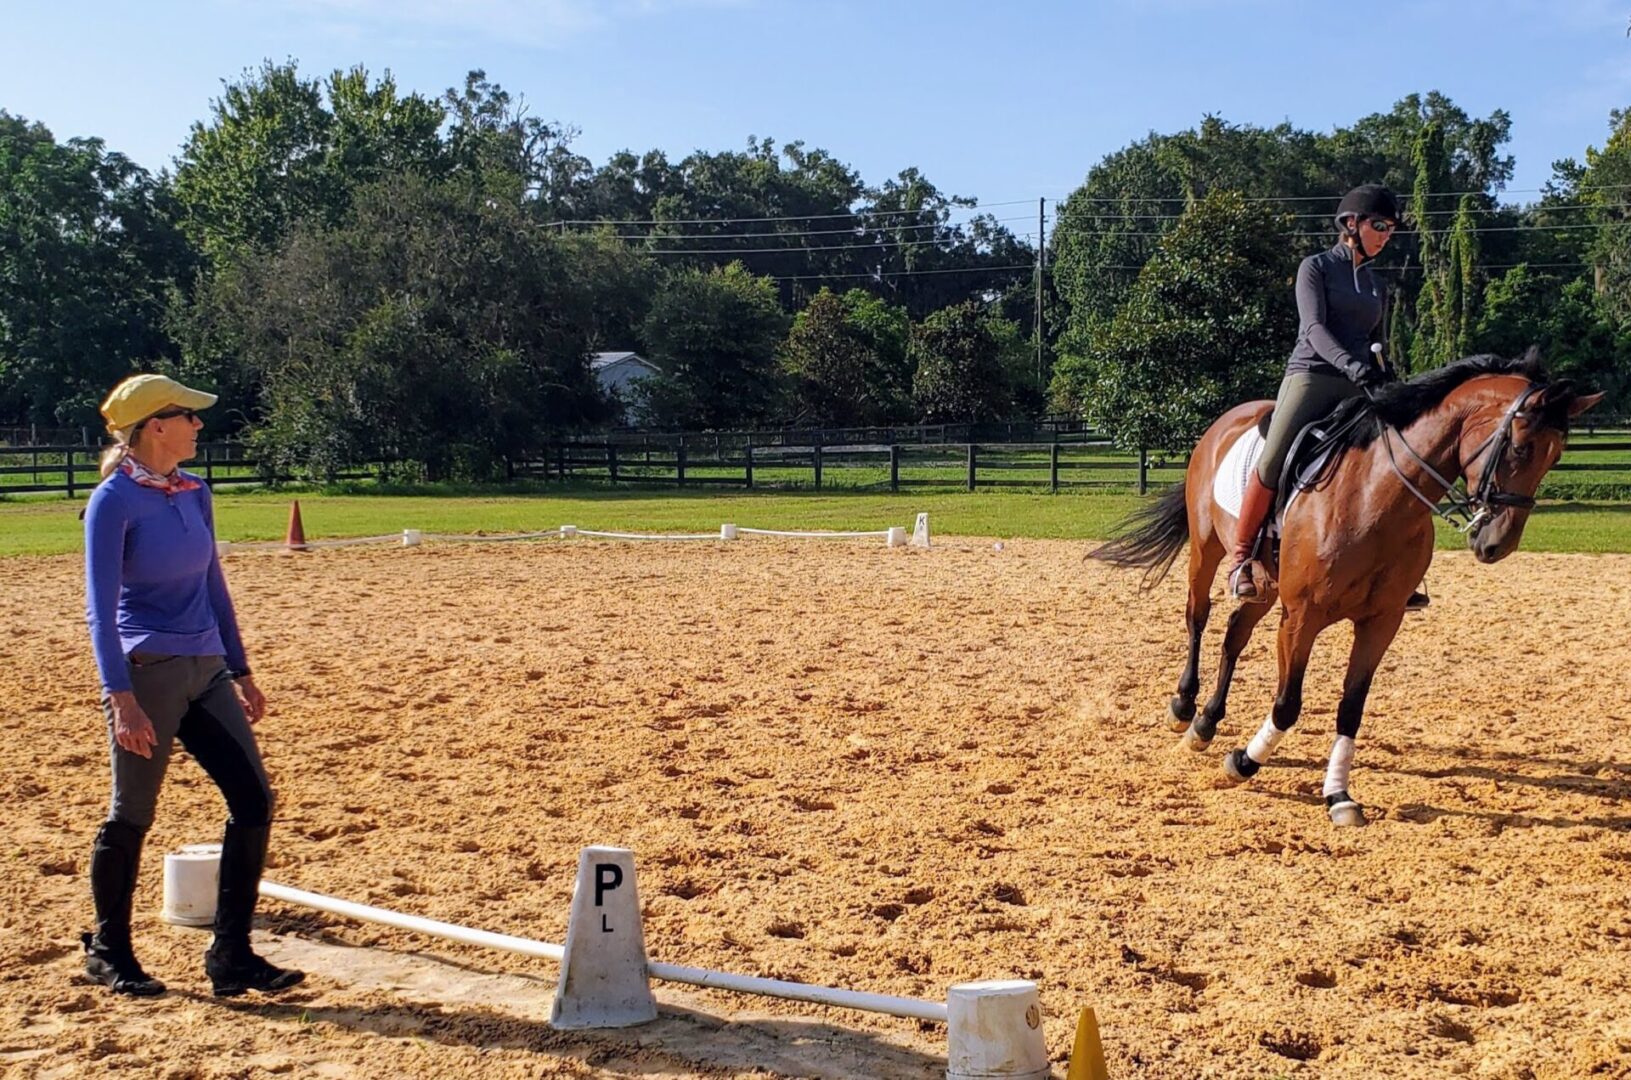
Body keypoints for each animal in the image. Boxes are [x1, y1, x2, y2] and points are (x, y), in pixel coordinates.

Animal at [1096, 349, 1604, 828]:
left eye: (1556, 457)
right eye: (1520, 446)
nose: (1496, 543)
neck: (1374, 499)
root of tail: (1227, 420)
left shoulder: (1381, 622)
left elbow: (1351, 709)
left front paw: (1338, 795)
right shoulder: (1301, 618)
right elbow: (1287, 705)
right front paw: (1243, 762)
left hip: (1266, 586)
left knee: (1234, 635)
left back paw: (1205, 722)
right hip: (1207, 552)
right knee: (1197, 618)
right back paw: (1184, 705)